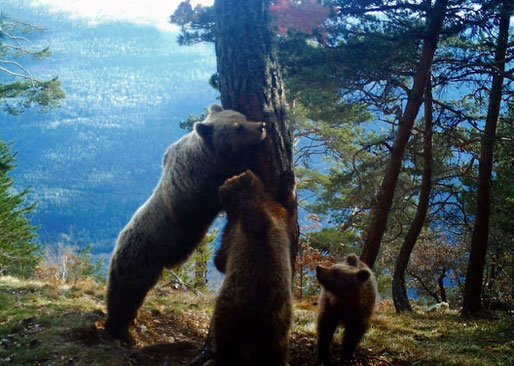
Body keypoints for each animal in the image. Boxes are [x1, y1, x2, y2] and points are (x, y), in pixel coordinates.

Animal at [103, 104, 264, 344]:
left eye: (242, 117)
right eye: (238, 127)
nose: (262, 126)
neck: (208, 158)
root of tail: (120, 239)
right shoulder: (193, 187)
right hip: (141, 254)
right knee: (126, 290)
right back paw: (120, 331)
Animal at [210, 172, 292, 366]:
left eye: (230, 179)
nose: (219, 187)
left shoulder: (235, 230)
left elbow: (222, 259)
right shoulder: (279, 212)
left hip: (231, 310)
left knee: (225, 339)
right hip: (279, 325)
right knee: (278, 348)